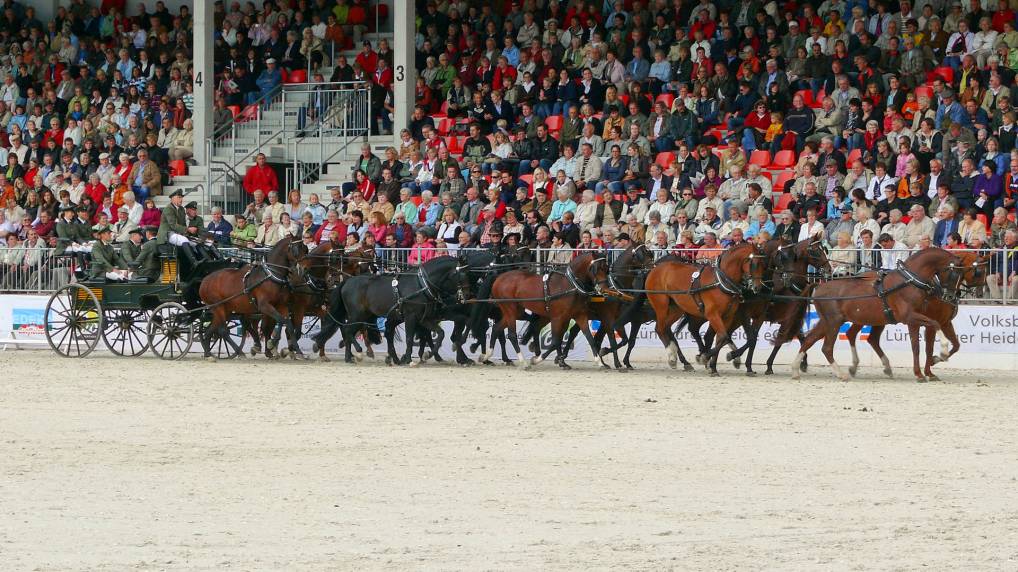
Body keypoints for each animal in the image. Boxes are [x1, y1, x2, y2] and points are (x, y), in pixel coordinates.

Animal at [647, 240, 765, 374]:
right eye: (754, 264)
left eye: (763, 264)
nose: (757, 287)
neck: (721, 281)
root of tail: (655, 268)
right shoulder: (712, 314)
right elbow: (723, 336)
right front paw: (705, 357)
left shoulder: (728, 316)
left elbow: (722, 338)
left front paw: (712, 364)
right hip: (661, 305)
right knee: (660, 328)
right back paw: (672, 357)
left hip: (676, 308)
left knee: (667, 327)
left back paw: (683, 360)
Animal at [789, 247, 965, 380]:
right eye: (954, 274)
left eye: (962, 275)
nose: (950, 297)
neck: (909, 281)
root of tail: (818, 286)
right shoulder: (910, 317)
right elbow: (933, 327)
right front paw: (941, 353)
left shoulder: (916, 319)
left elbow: (924, 338)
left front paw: (931, 364)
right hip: (833, 322)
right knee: (826, 348)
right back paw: (841, 374)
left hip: (827, 322)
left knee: (809, 340)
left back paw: (796, 370)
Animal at [838, 248, 989, 378]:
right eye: (979, 272)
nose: (950, 296)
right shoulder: (919, 321)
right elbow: (922, 347)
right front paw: (926, 370)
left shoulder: (945, 322)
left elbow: (955, 345)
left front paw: (934, 363)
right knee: (854, 335)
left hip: (876, 319)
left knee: (868, 338)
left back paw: (874, 367)